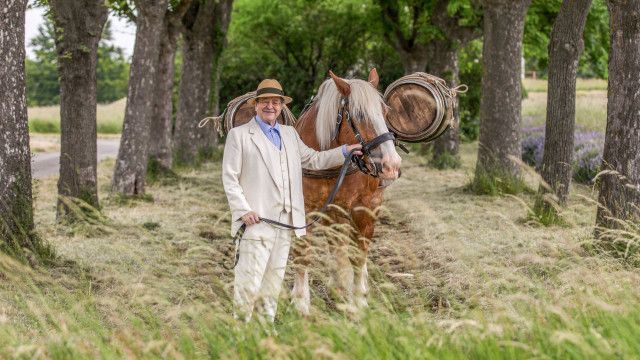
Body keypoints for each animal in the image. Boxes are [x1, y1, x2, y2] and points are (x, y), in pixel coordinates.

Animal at [292, 69, 402, 314]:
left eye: (385, 112)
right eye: (359, 115)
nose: (391, 165)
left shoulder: (365, 207)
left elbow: (359, 254)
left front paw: (358, 300)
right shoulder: (306, 210)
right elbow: (303, 253)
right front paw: (300, 302)